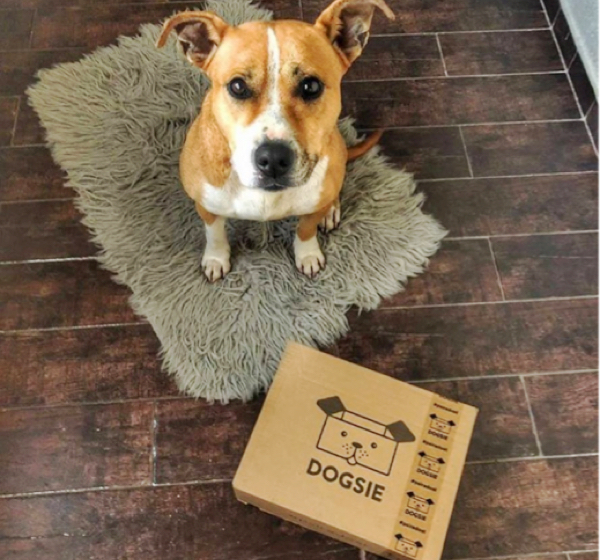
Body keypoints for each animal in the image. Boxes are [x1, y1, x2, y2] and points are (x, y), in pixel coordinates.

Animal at [157, 0, 394, 281]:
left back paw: (330, 210)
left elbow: (305, 230)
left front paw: (308, 255)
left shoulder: (312, 208)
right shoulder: (206, 206)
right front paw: (216, 259)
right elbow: (214, 234)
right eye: (237, 86)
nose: (272, 159)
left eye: (311, 86)